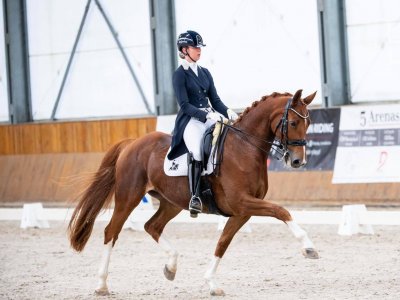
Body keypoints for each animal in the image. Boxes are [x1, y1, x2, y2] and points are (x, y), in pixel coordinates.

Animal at [68, 89, 318, 296]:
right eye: (293, 122)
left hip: (172, 202)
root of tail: (132, 143)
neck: (244, 148)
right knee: (112, 231)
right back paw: (101, 285)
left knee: (152, 226)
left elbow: (223, 242)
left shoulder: (241, 211)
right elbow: (281, 211)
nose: (298, 161)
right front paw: (308, 248)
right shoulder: (242, 202)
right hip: (128, 197)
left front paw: (211, 283)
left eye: (308, 124)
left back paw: (171, 267)